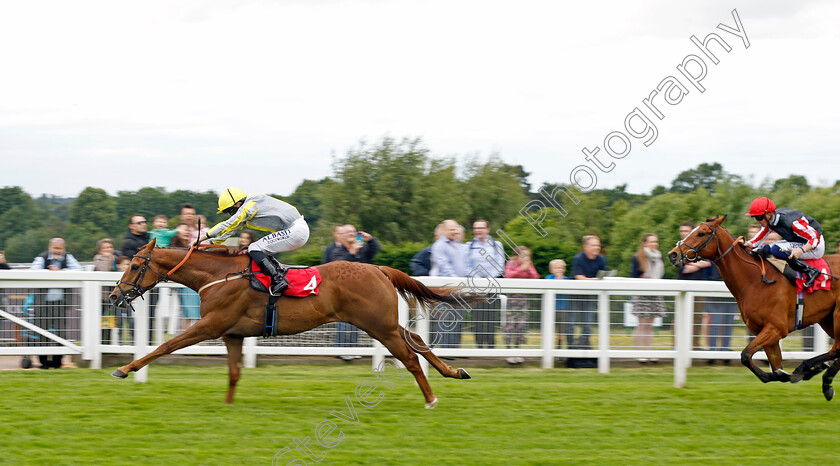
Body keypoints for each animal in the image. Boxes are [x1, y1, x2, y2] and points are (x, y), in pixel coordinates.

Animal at [107, 240, 470, 408]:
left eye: (136, 266)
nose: (114, 295)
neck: (217, 275)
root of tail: (378, 268)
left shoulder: (211, 325)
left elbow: (166, 345)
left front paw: (124, 369)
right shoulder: (233, 334)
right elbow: (234, 373)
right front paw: (227, 407)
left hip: (378, 325)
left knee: (409, 356)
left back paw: (431, 399)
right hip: (383, 324)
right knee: (417, 342)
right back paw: (454, 372)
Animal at [668, 217, 840, 398]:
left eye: (701, 233)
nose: (673, 254)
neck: (755, 280)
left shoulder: (776, 328)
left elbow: (746, 355)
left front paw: (789, 374)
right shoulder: (765, 332)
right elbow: (775, 368)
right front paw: (782, 375)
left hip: (837, 316)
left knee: (837, 348)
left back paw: (811, 370)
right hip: (827, 319)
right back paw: (821, 377)